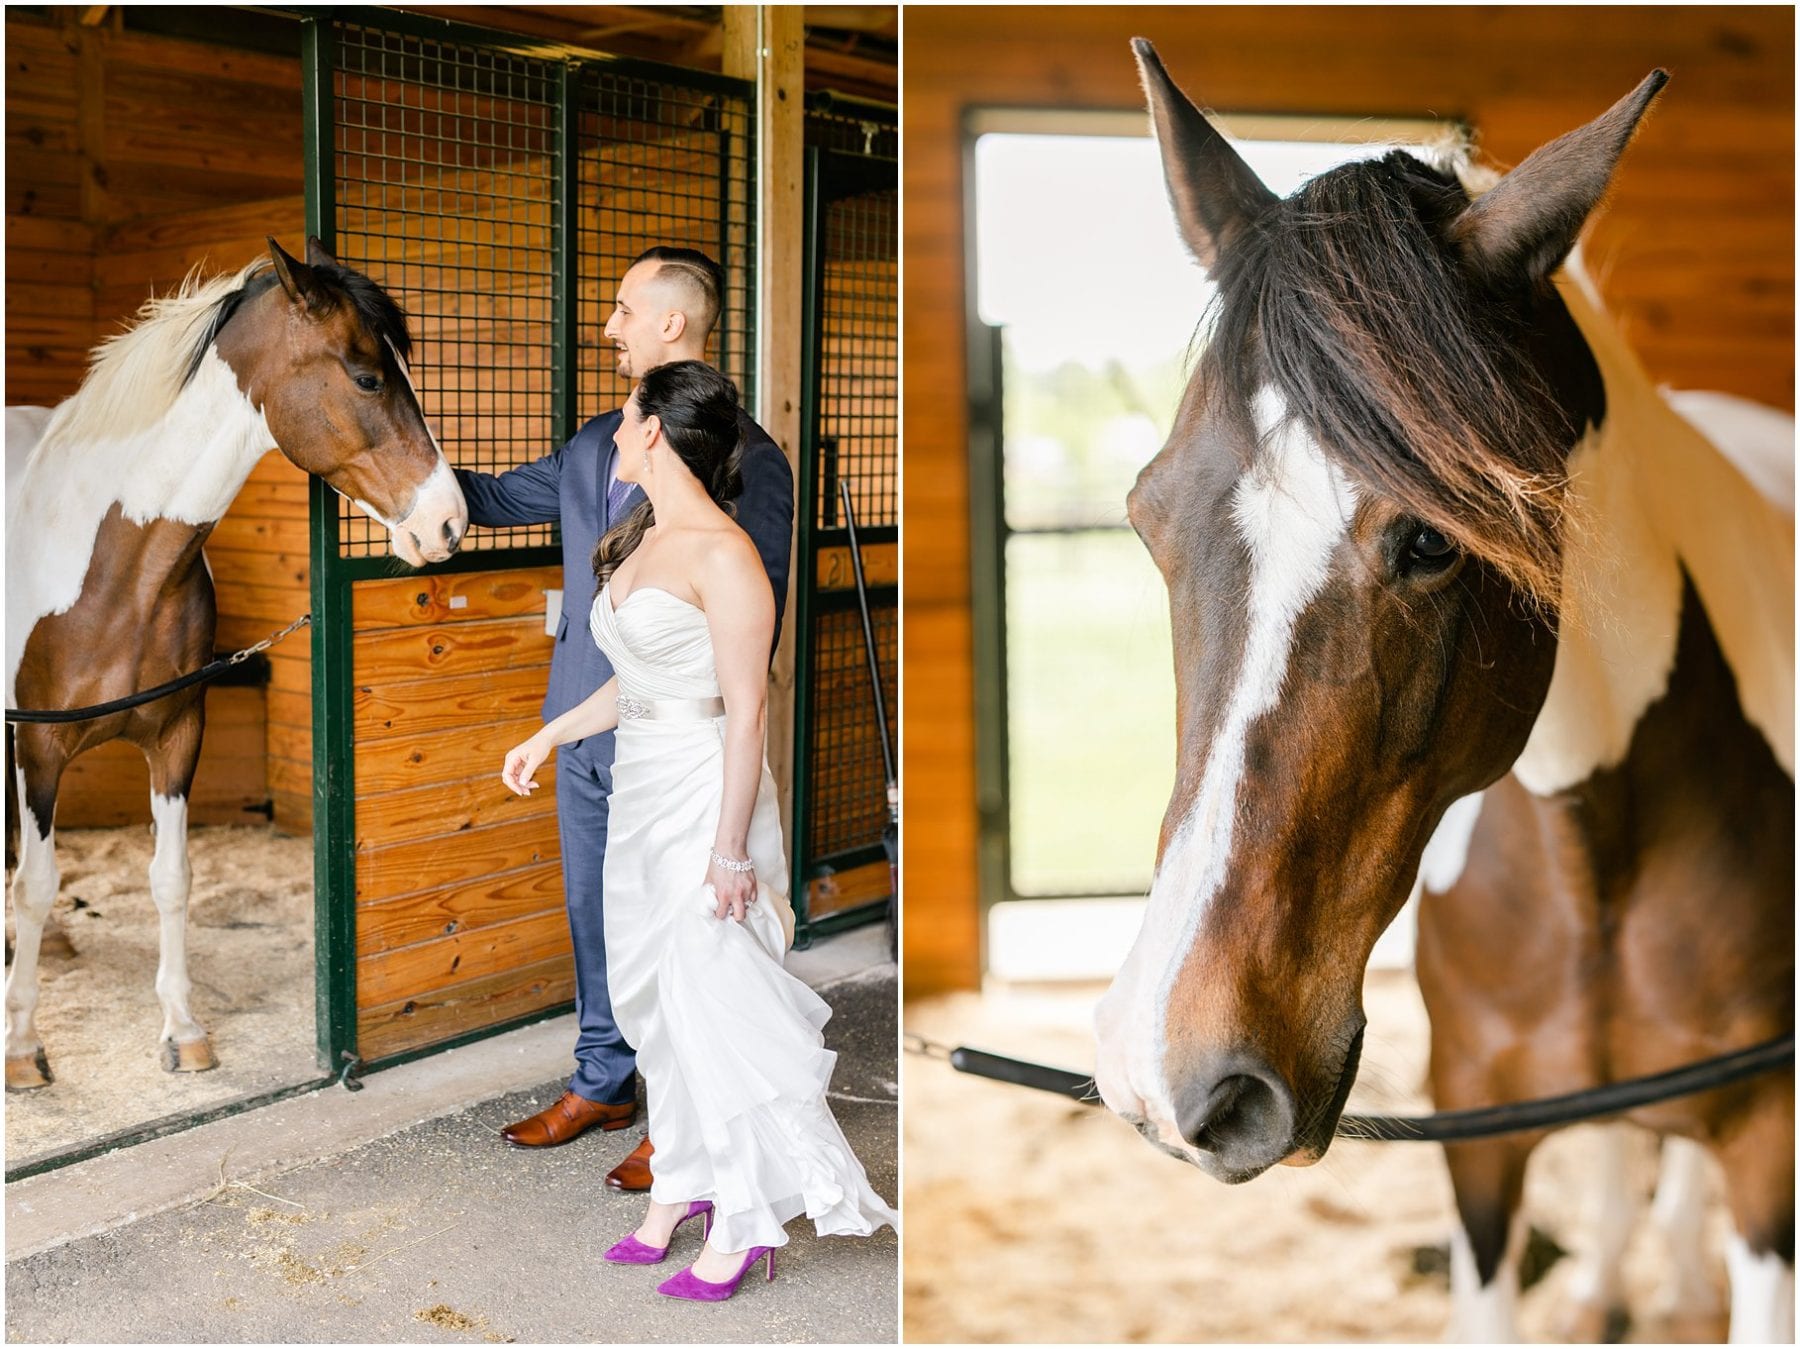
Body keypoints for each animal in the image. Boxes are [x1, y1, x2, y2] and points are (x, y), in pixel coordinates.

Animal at [5, 235, 464, 1087]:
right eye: (367, 376)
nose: (450, 522)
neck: (112, 560)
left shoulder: (177, 734)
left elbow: (171, 879)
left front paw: (183, 1031)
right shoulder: (39, 744)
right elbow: (37, 882)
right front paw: (22, 1046)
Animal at [1094, 39, 1800, 1339]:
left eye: (1433, 539)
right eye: (1149, 514)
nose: (1168, 1065)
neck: (1591, 841)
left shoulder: (1769, 1159)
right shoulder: (1480, 1141)